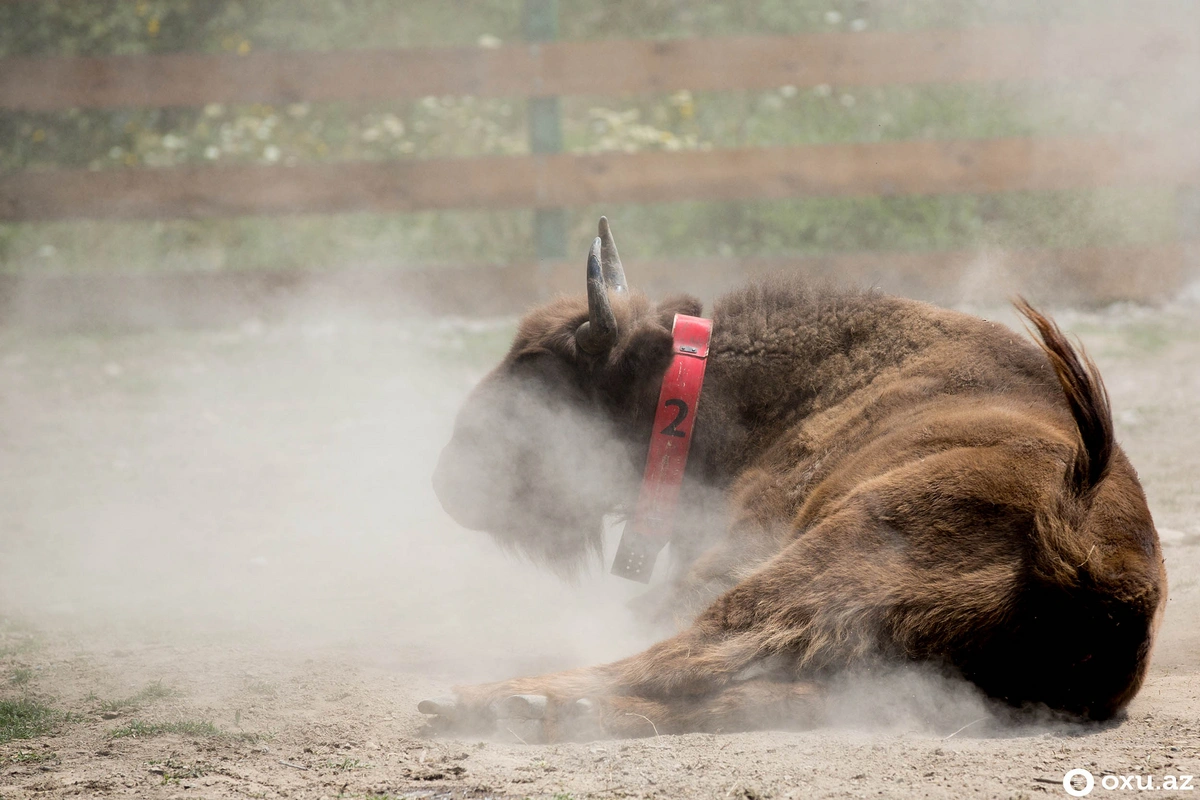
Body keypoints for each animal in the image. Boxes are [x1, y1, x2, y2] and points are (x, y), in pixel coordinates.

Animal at [427, 217, 1166, 738]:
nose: (447, 481)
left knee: (680, 657)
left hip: (819, 557)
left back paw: (486, 702)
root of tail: (1085, 561)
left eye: (536, 369)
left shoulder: (733, 549)